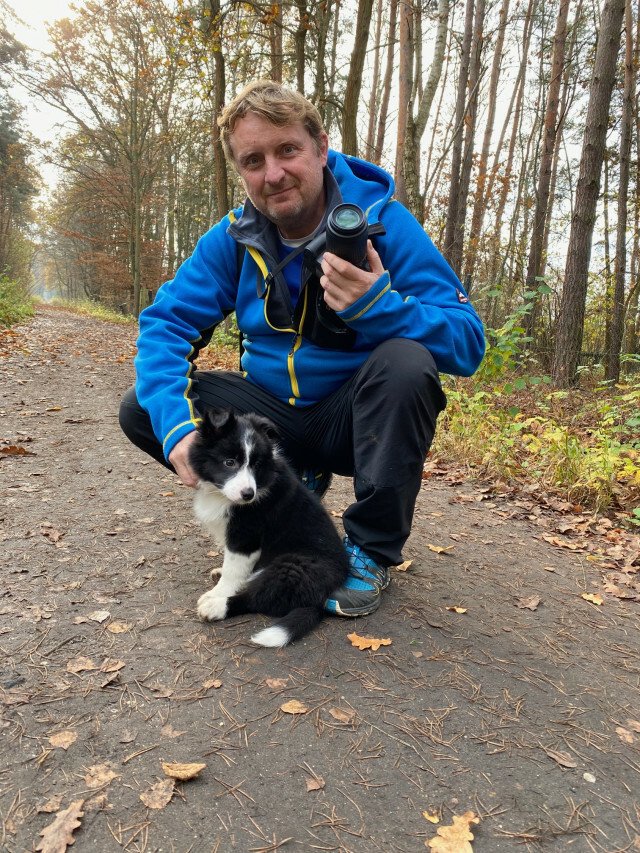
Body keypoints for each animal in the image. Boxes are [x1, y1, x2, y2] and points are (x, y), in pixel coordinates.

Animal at [189, 410, 348, 648]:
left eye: (256, 465)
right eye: (229, 462)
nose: (248, 495)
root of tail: (321, 598)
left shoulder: (246, 538)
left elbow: (233, 570)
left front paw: (217, 593)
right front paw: (222, 573)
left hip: (292, 567)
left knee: (258, 598)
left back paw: (217, 606)